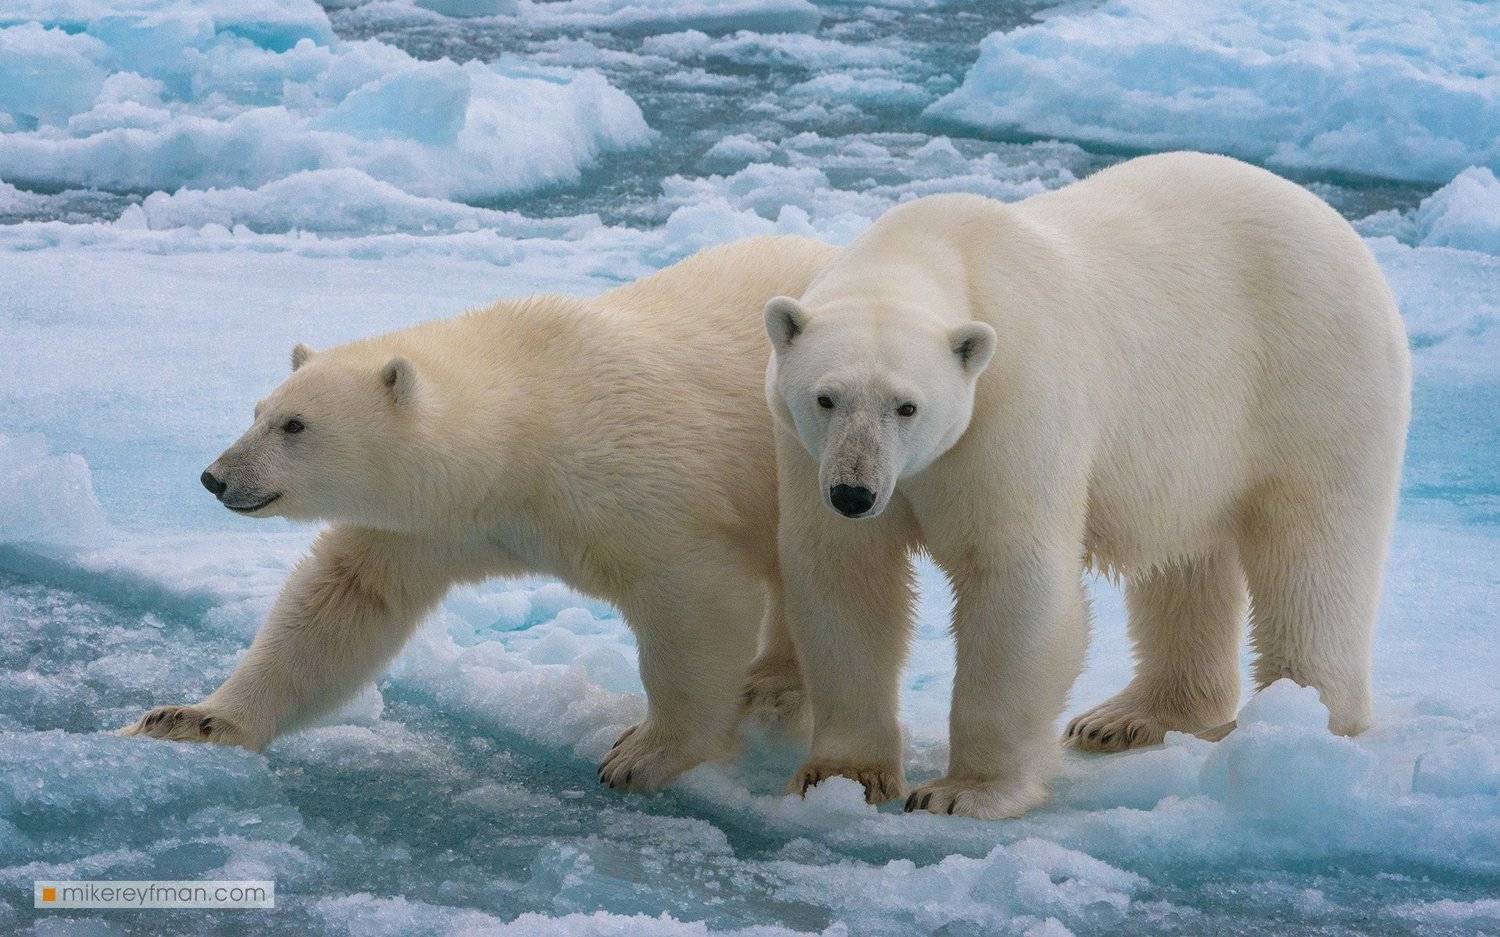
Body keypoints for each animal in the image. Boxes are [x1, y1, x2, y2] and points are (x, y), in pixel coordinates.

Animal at [122, 234, 838, 794]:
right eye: (257, 411)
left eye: (295, 424)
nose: (216, 477)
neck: (527, 428)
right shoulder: (430, 525)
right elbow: (344, 602)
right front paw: (189, 720)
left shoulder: (638, 486)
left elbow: (693, 599)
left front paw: (642, 755)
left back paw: (776, 687)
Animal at [761, 152, 1411, 819]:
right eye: (826, 398)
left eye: (907, 406)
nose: (854, 494)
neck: (934, 249)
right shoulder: (804, 450)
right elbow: (846, 577)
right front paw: (841, 777)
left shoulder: (1012, 405)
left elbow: (1012, 576)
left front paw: (962, 791)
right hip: (1196, 447)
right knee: (1189, 560)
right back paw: (1129, 718)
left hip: (1311, 377)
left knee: (1313, 549)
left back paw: (1298, 723)